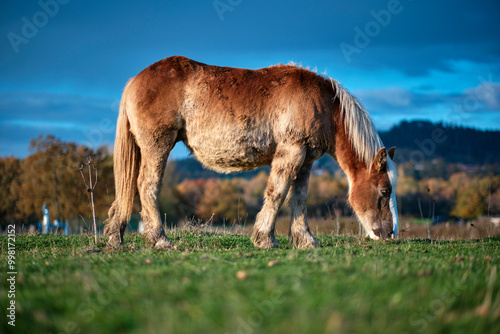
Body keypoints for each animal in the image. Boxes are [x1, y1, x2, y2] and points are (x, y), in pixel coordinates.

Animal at [102, 55, 398, 248]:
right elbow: (277, 193)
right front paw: (265, 238)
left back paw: (116, 237)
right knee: (146, 185)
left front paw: (306, 240)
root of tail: (136, 80)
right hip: (157, 146)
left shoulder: (306, 161)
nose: (389, 234)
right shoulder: (291, 153)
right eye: (385, 191)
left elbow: (299, 198)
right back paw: (160, 239)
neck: (322, 102)